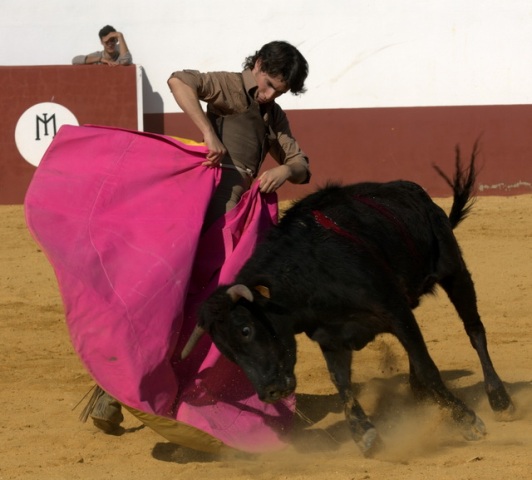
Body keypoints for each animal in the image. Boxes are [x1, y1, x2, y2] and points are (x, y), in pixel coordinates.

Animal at [181, 147, 512, 458]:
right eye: (227, 352)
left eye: (246, 329)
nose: (270, 392)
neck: (309, 277)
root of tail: (413, 190)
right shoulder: (331, 335)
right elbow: (342, 382)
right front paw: (365, 435)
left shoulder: (394, 310)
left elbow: (428, 366)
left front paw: (467, 420)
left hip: (454, 271)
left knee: (474, 330)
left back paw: (500, 399)